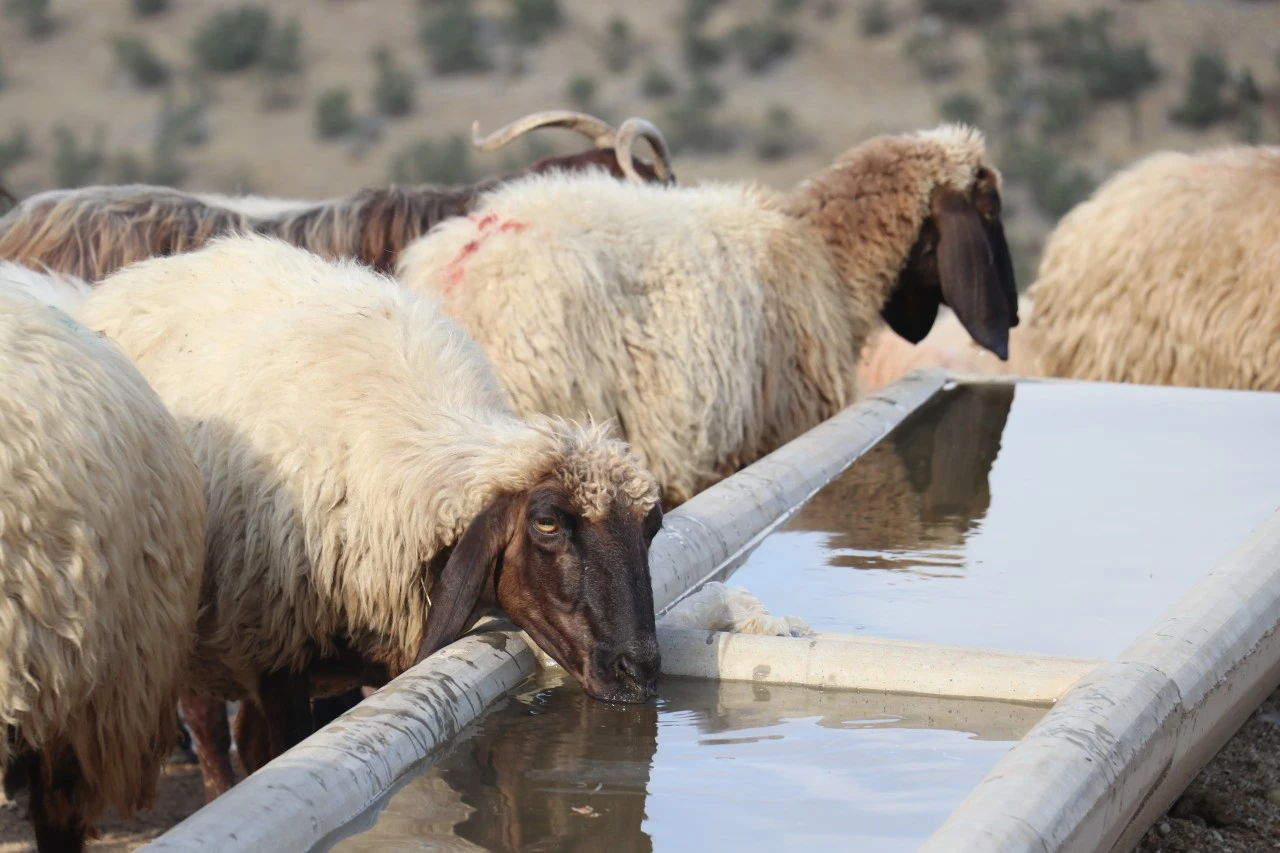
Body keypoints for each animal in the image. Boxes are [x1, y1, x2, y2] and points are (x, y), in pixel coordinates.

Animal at [66, 230, 670, 799]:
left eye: (653, 527)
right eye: (546, 522)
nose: (639, 671)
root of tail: (150, 269)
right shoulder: (275, 657)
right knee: (212, 731)